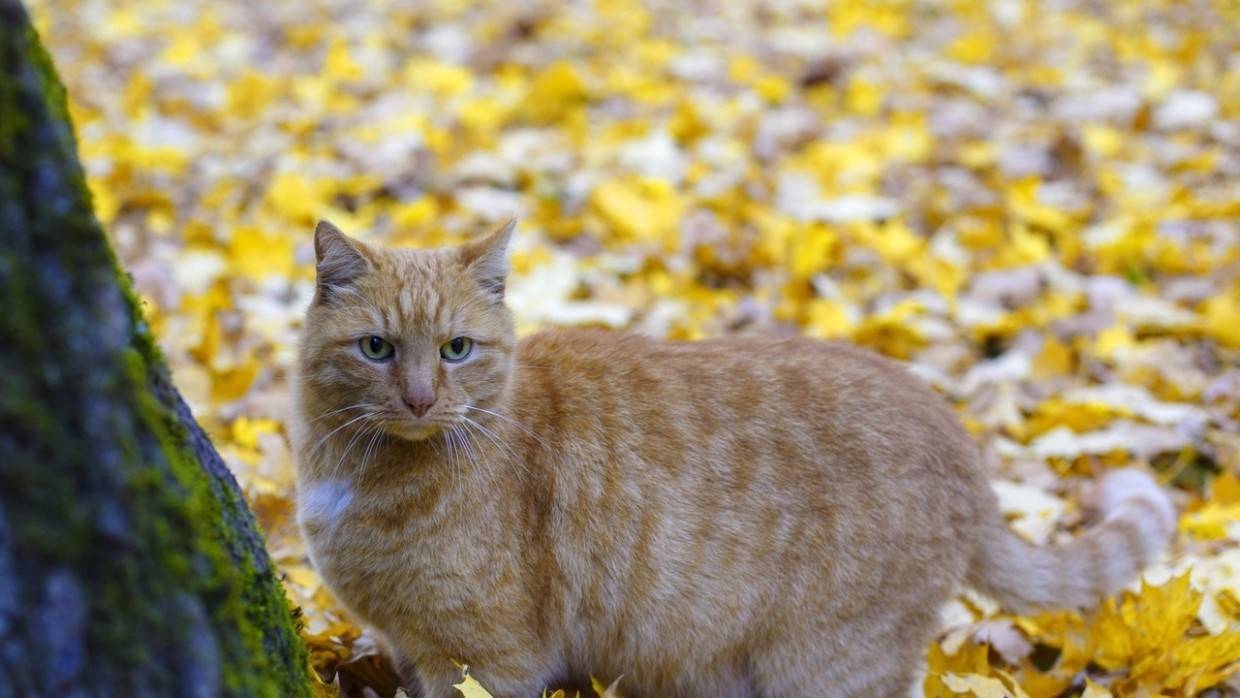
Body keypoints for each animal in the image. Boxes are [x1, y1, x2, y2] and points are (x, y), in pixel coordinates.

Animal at [290, 219, 1170, 698]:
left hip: (828, 665)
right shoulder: (410, 648)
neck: (360, 474)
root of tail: (961, 442)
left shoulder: (488, 659)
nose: (419, 399)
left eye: (457, 349)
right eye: (377, 348)